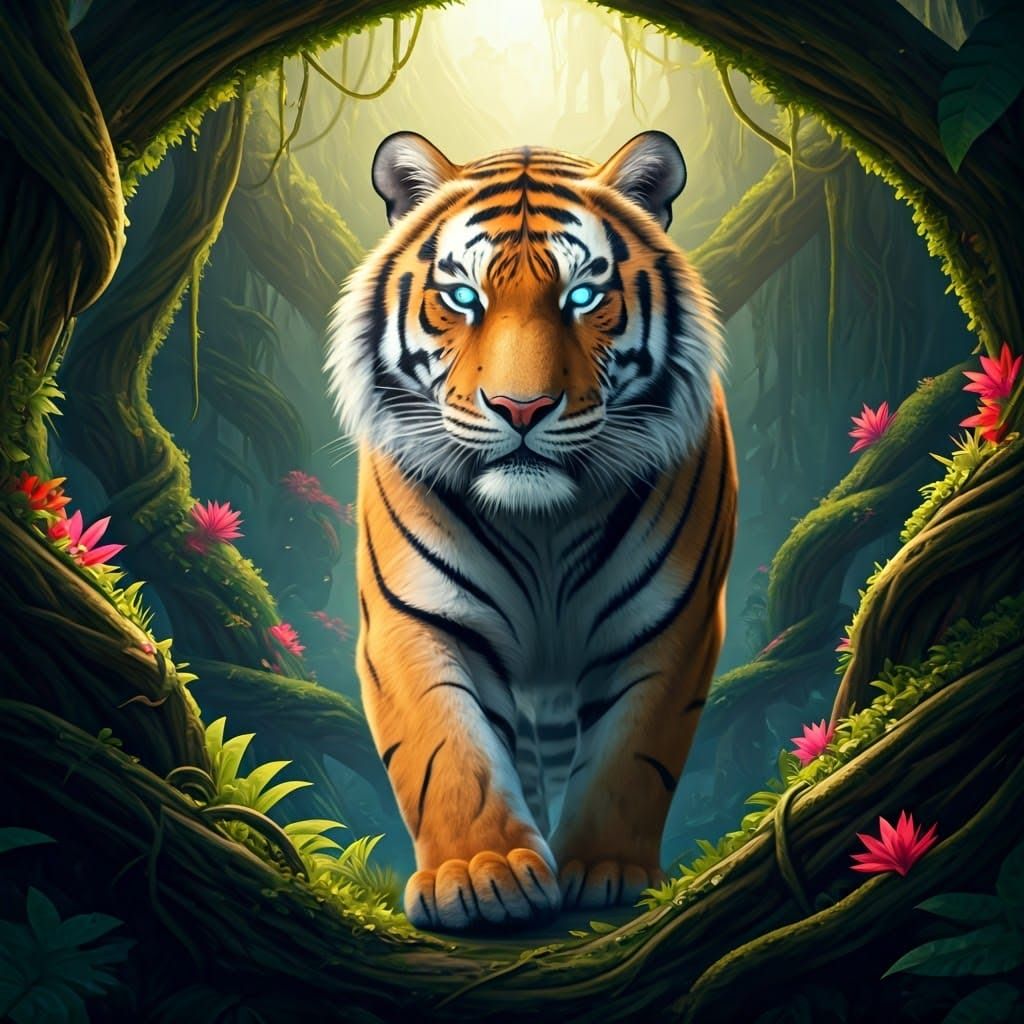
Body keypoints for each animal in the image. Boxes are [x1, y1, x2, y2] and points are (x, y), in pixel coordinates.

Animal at [325, 130, 737, 932]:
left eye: (583, 296)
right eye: (463, 297)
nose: (522, 408)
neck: (541, 521)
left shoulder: (671, 624)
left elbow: (630, 756)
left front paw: (605, 872)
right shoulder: (413, 619)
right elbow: (445, 751)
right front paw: (481, 877)